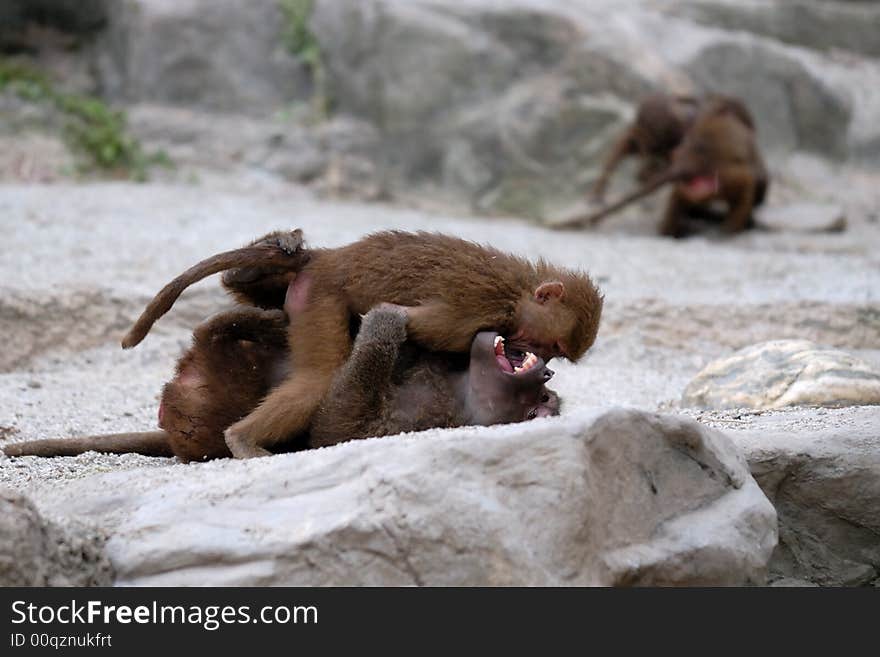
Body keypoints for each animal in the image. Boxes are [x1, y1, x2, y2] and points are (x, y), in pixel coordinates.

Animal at [1, 304, 556, 458]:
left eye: (547, 396)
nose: (548, 370)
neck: (464, 394)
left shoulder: (413, 420)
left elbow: (337, 424)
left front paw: (384, 321)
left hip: (208, 410)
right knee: (239, 341)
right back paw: (254, 321)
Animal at [120, 226, 604, 456]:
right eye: (552, 348)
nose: (544, 363)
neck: (518, 291)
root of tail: (326, 261)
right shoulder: (470, 313)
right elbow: (405, 320)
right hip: (320, 299)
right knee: (318, 379)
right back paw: (240, 439)